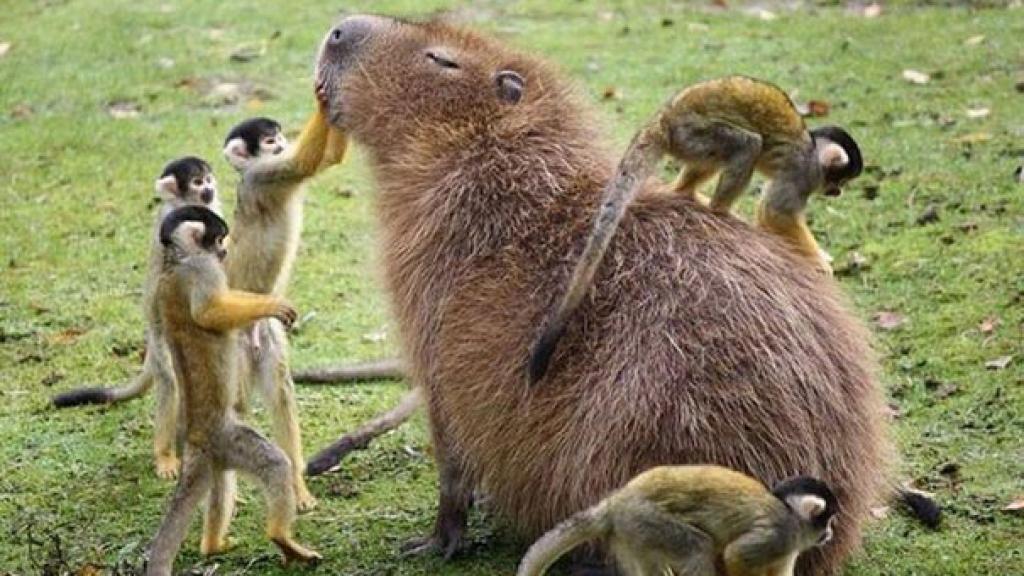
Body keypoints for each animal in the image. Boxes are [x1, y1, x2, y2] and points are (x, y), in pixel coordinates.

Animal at [52, 156, 222, 479]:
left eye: (208, 178)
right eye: (197, 182)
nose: (209, 187)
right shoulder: (168, 223)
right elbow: (160, 282)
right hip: (159, 341)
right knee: (169, 380)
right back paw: (166, 454)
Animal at [145, 205, 319, 576]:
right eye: (219, 238)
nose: (223, 252)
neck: (176, 260)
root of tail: (196, 438)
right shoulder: (202, 268)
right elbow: (210, 312)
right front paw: (271, 305)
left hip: (217, 454)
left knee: (221, 483)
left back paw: (213, 545)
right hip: (231, 439)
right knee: (275, 465)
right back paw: (281, 538)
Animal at [219, 109, 348, 511]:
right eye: (269, 141)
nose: (280, 143)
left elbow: (326, 158)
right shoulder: (263, 175)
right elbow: (302, 163)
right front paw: (321, 99)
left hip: (267, 334)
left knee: (279, 395)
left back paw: (296, 486)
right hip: (231, 344)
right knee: (236, 405)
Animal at [517, 465, 838, 576]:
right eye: (829, 519)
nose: (830, 533)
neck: (792, 515)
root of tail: (616, 501)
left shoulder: (789, 547)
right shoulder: (780, 534)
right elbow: (736, 555)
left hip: (630, 532)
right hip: (645, 518)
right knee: (699, 547)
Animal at [528, 76, 863, 385]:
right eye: (840, 180)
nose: (837, 193)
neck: (812, 149)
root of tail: (665, 118)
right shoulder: (802, 172)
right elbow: (775, 211)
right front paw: (818, 263)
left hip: (689, 142)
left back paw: (686, 193)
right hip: (694, 134)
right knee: (747, 144)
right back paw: (720, 210)